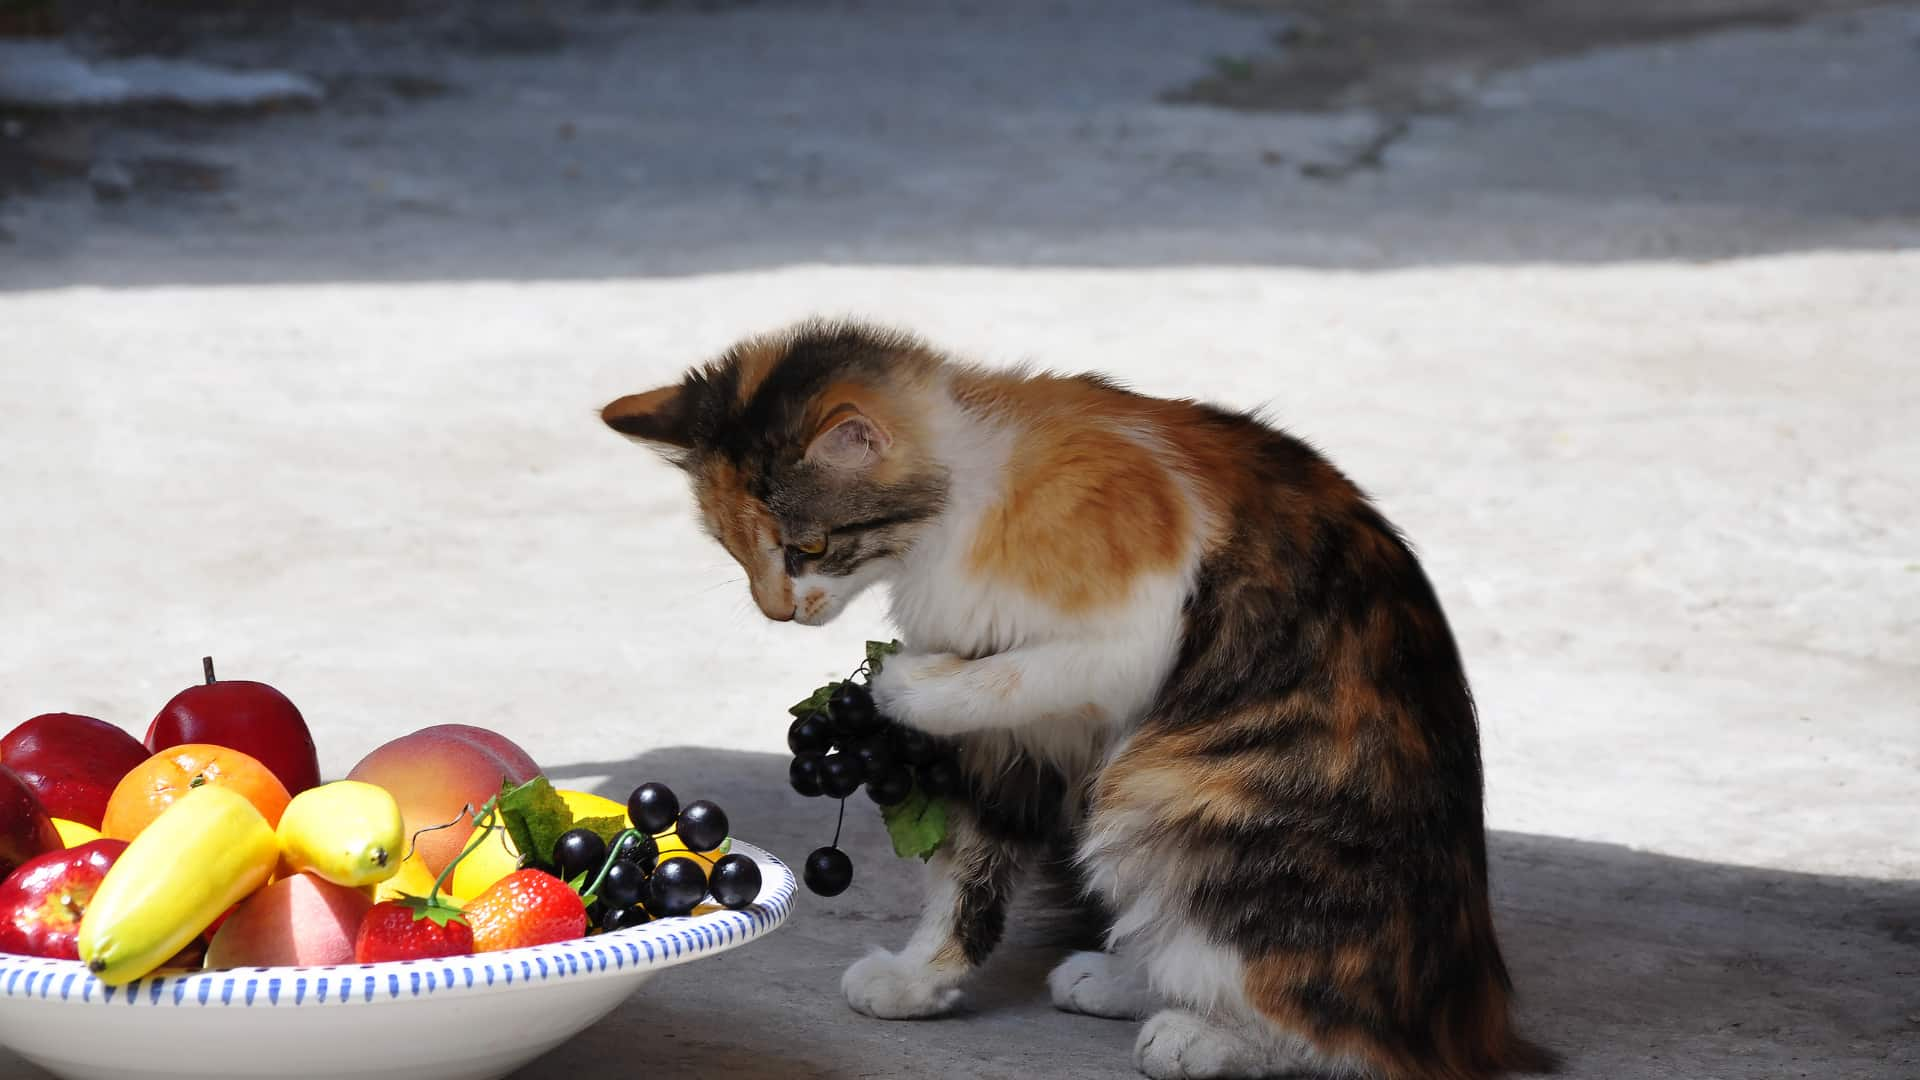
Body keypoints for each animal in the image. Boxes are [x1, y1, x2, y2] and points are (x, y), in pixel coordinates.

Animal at [606, 319, 1551, 1076]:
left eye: (808, 547)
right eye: (736, 552)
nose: (778, 610)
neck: (963, 496)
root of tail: (1474, 1022)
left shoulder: (1135, 630)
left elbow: (1005, 675)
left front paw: (904, 682)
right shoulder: (1018, 739)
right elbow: (967, 870)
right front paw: (921, 977)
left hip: (1163, 792)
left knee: (1349, 1038)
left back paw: (1204, 1036)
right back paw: (1125, 976)